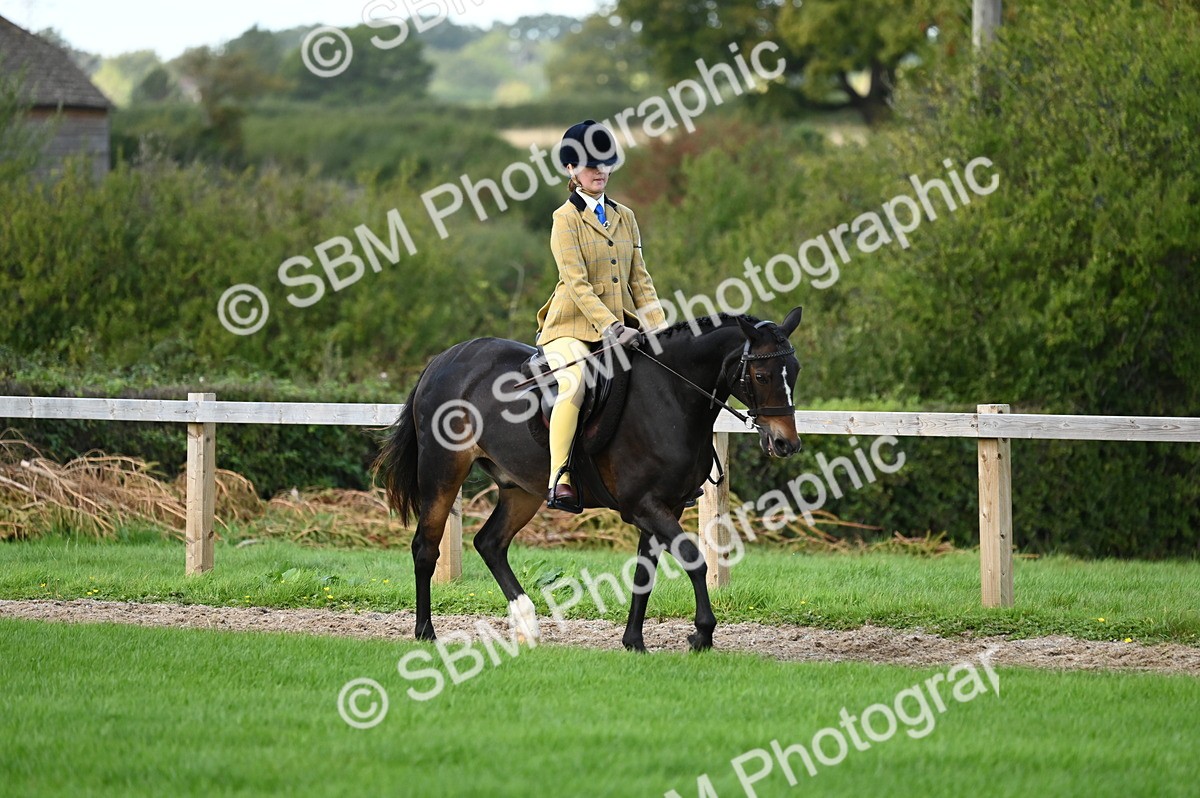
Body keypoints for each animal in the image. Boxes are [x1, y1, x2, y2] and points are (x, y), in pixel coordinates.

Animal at [373, 307, 804, 652]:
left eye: (795, 371)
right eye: (761, 375)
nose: (785, 443)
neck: (671, 394)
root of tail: (445, 359)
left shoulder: (665, 506)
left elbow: (644, 573)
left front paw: (634, 642)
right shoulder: (644, 505)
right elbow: (694, 560)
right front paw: (701, 634)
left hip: (521, 490)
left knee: (490, 543)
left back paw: (527, 625)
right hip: (442, 473)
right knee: (426, 548)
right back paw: (426, 632)